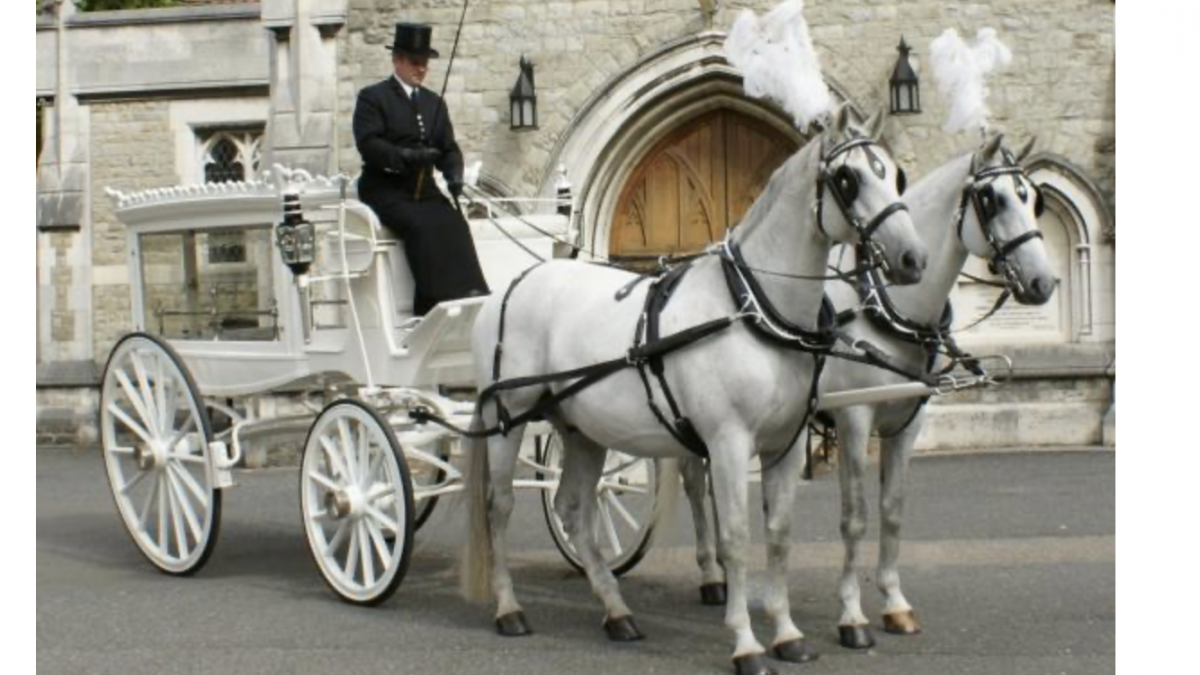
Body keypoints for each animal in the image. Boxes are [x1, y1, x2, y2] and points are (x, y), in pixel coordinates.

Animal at [458, 106, 926, 672]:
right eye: (847, 178)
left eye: (896, 176)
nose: (913, 258)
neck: (753, 308)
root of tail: (514, 283)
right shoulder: (727, 442)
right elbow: (736, 537)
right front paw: (746, 642)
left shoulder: (785, 445)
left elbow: (779, 534)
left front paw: (787, 633)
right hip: (507, 419)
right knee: (499, 506)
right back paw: (509, 608)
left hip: (580, 429)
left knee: (573, 509)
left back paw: (615, 610)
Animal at [681, 131, 1056, 648]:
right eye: (991, 199)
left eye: (1034, 199)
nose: (1044, 282)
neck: (888, 307)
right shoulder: (854, 418)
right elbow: (855, 517)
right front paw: (852, 615)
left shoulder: (907, 422)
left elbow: (893, 510)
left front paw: (895, 603)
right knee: (694, 485)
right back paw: (709, 576)